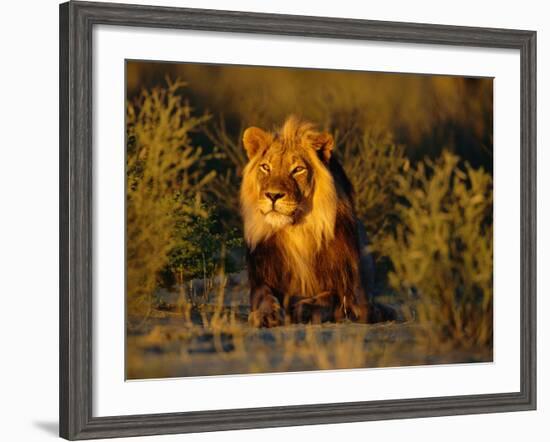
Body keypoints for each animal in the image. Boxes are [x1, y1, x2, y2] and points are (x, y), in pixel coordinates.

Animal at [240, 115, 392, 326]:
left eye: (298, 169)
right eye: (265, 167)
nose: (273, 195)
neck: (297, 232)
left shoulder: (354, 295)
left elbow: (333, 297)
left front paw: (304, 308)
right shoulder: (262, 278)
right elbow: (264, 295)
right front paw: (266, 314)